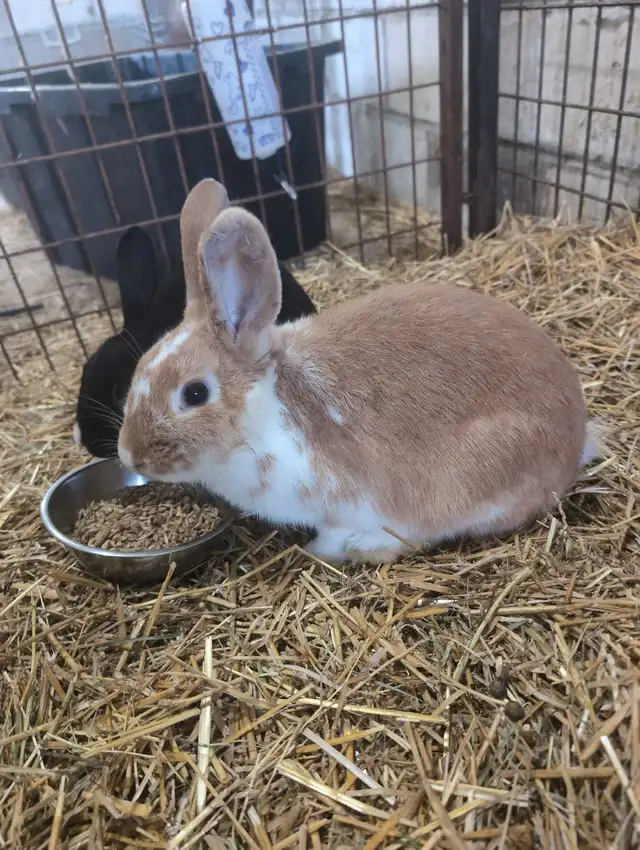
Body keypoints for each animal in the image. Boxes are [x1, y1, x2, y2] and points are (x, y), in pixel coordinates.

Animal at [116, 178, 599, 565]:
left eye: (194, 394)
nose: (128, 456)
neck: (264, 412)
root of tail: (577, 436)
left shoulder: (345, 505)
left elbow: (337, 534)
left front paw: (316, 553)